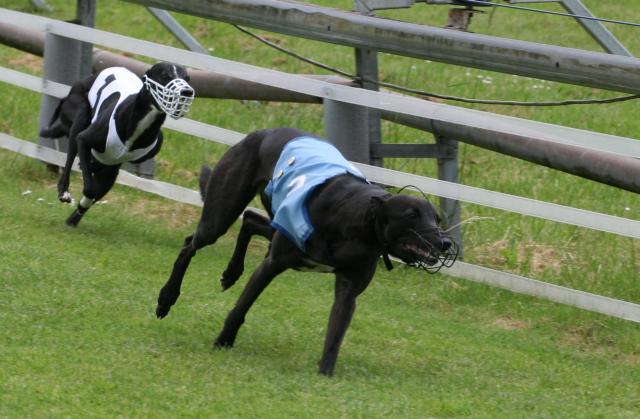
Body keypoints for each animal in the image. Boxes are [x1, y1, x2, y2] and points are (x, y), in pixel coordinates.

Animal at [40, 62, 195, 226]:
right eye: (165, 75)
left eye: (187, 78)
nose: (187, 92)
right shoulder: (83, 139)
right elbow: (89, 189)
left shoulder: (114, 168)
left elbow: (95, 188)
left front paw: (74, 218)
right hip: (79, 114)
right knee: (70, 158)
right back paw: (64, 190)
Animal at [155, 127, 458, 376]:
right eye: (411, 215)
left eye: (436, 219)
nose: (445, 243)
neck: (355, 218)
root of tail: (260, 133)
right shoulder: (273, 264)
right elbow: (241, 307)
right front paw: (223, 341)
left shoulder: (349, 287)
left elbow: (336, 332)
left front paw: (325, 373)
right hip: (220, 214)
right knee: (190, 244)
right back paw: (167, 298)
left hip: (271, 220)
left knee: (251, 219)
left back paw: (231, 272)